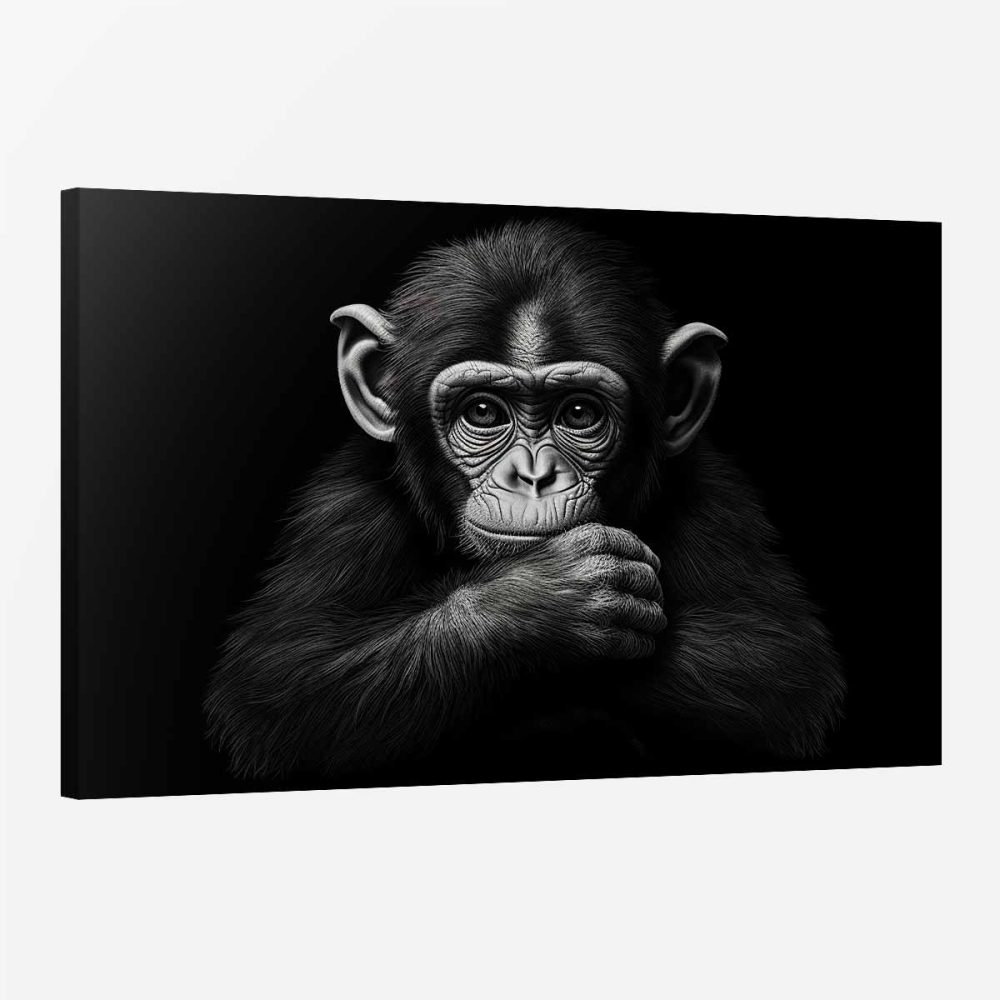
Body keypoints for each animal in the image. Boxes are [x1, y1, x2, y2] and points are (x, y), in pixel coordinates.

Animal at [205, 219, 844, 784]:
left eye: (580, 413)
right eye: (484, 411)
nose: (534, 476)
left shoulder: (718, 498)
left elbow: (776, 671)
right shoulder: (345, 507)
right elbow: (283, 685)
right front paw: (549, 602)